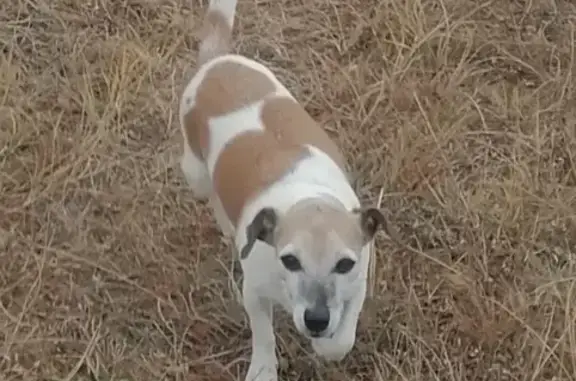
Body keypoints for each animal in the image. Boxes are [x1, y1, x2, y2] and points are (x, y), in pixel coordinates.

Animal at [178, 1, 390, 378]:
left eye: (344, 264)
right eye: (290, 260)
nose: (317, 320)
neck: (307, 195)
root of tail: (216, 61)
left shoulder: (358, 283)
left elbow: (341, 340)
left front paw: (326, 344)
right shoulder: (255, 294)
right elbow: (263, 334)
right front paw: (264, 369)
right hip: (195, 172)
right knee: (211, 193)